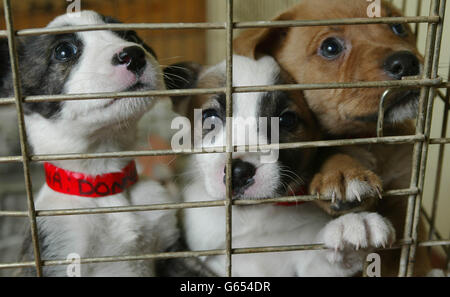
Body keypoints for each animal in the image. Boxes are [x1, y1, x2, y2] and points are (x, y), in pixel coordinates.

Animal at [234, 0, 430, 276]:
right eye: (330, 47)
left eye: (398, 27)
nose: (407, 62)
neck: (367, 137)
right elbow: (329, 152)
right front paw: (345, 174)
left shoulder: (404, 200)